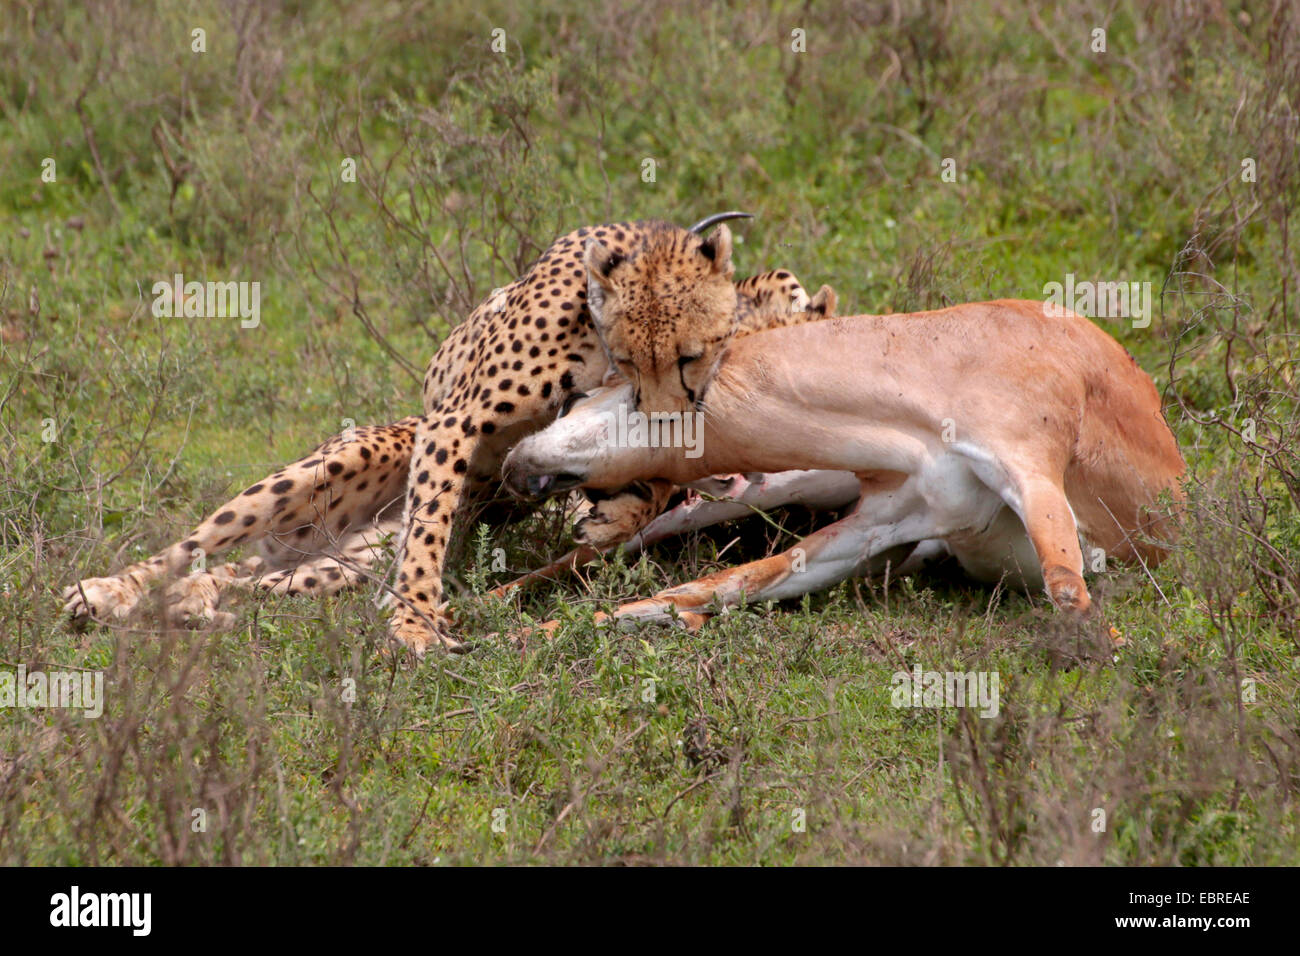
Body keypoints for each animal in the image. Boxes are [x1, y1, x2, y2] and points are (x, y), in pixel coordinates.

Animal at [63, 214, 832, 655]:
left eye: (693, 354)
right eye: (635, 355)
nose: (668, 415)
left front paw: (617, 511)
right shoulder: (453, 420)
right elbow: (429, 531)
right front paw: (413, 629)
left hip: (344, 561)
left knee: (240, 581)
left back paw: (190, 604)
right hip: (340, 464)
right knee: (191, 548)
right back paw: (103, 592)